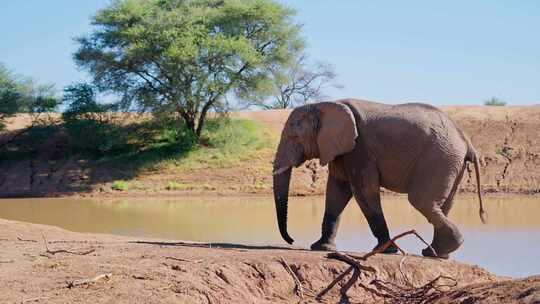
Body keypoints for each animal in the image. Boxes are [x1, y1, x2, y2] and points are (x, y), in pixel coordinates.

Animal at [272, 98, 488, 258]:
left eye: (294, 137)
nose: (291, 240)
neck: (324, 105)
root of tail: (466, 140)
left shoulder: (360, 148)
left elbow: (363, 190)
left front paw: (385, 250)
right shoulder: (342, 149)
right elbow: (337, 190)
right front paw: (321, 248)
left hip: (439, 158)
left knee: (421, 201)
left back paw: (441, 249)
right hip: (451, 162)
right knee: (442, 205)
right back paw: (435, 253)